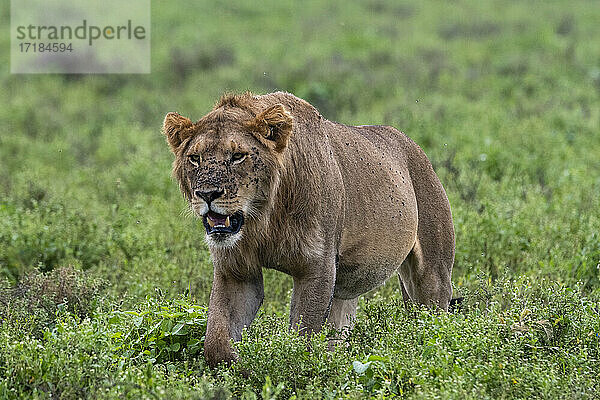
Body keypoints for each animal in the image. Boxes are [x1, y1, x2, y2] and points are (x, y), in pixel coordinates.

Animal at [164, 90, 454, 366]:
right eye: (195, 158)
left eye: (237, 156)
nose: (207, 194)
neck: (264, 219)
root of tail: (413, 145)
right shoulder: (236, 270)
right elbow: (216, 343)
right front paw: (242, 366)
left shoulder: (317, 266)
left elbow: (303, 340)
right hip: (345, 289)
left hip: (431, 275)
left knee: (433, 320)